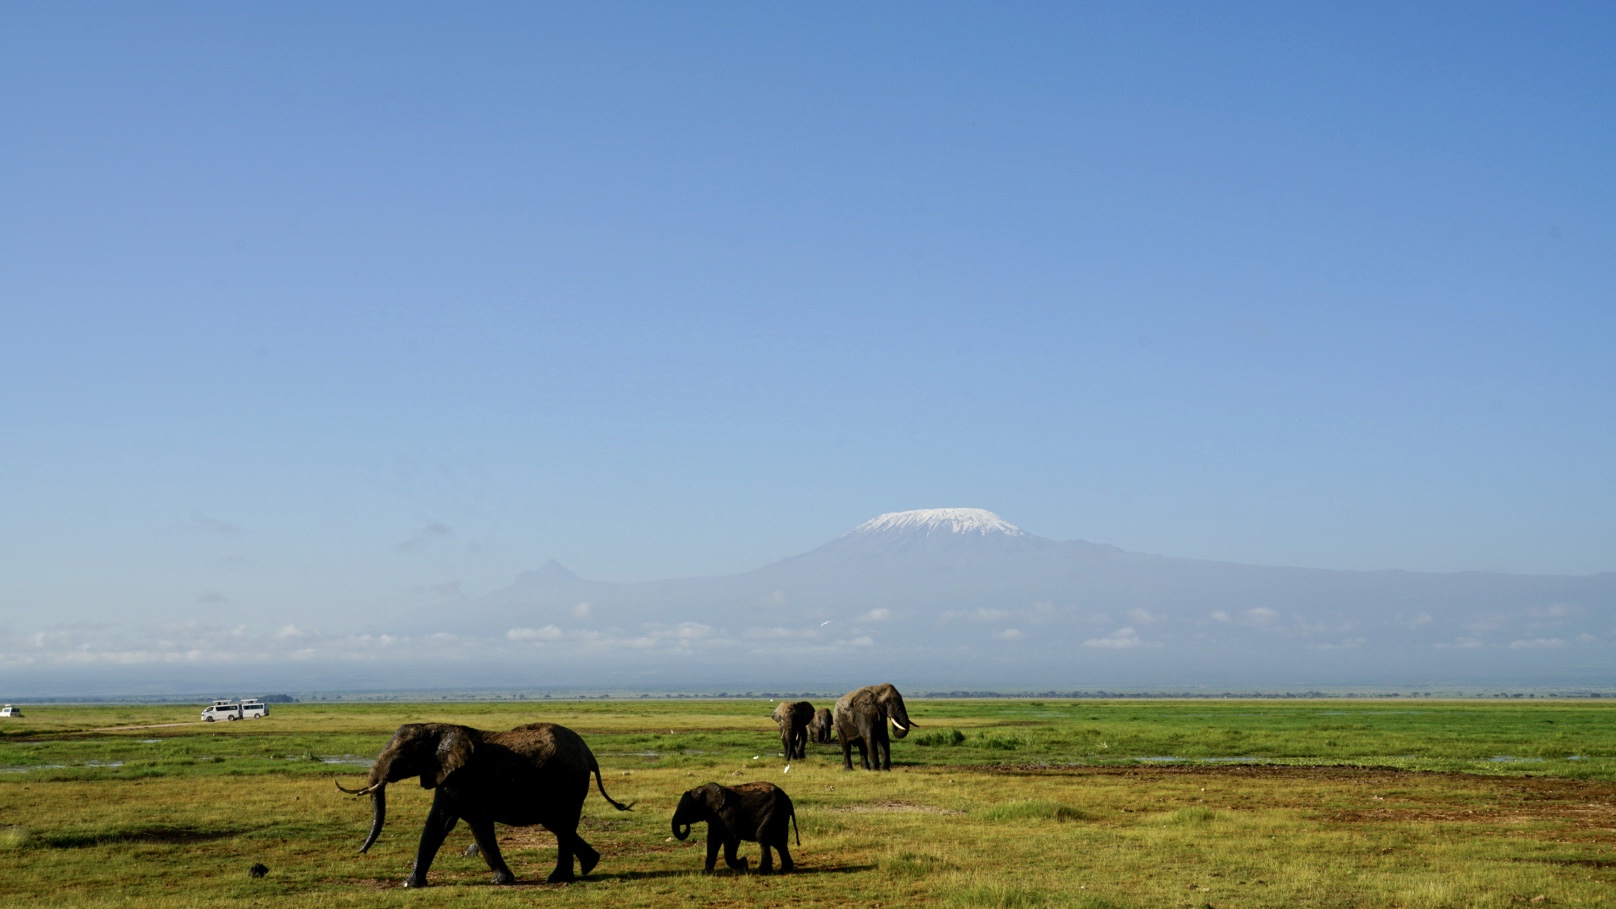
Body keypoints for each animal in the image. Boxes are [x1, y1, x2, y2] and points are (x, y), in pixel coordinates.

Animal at [334, 718, 630, 879]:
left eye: (402, 756)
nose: (360, 852)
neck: (438, 727)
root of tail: (589, 753)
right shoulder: (451, 775)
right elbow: (451, 822)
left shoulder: (460, 776)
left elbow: (457, 822)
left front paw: (410, 883)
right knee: (559, 825)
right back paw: (585, 867)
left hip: (568, 780)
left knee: (561, 823)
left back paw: (563, 876)